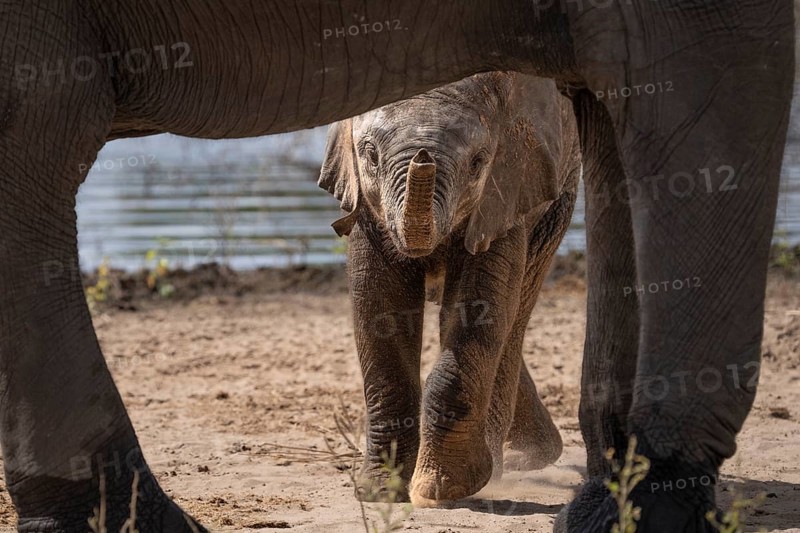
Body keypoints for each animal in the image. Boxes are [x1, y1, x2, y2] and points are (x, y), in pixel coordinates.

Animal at [318, 72, 580, 503]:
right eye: (370, 155)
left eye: (477, 163)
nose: (423, 155)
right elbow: (377, 306)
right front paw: (380, 491)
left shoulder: (505, 190)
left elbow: (479, 308)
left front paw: (441, 490)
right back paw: (528, 457)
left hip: (556, 202)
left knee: (513, 317)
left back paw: (508, 463)